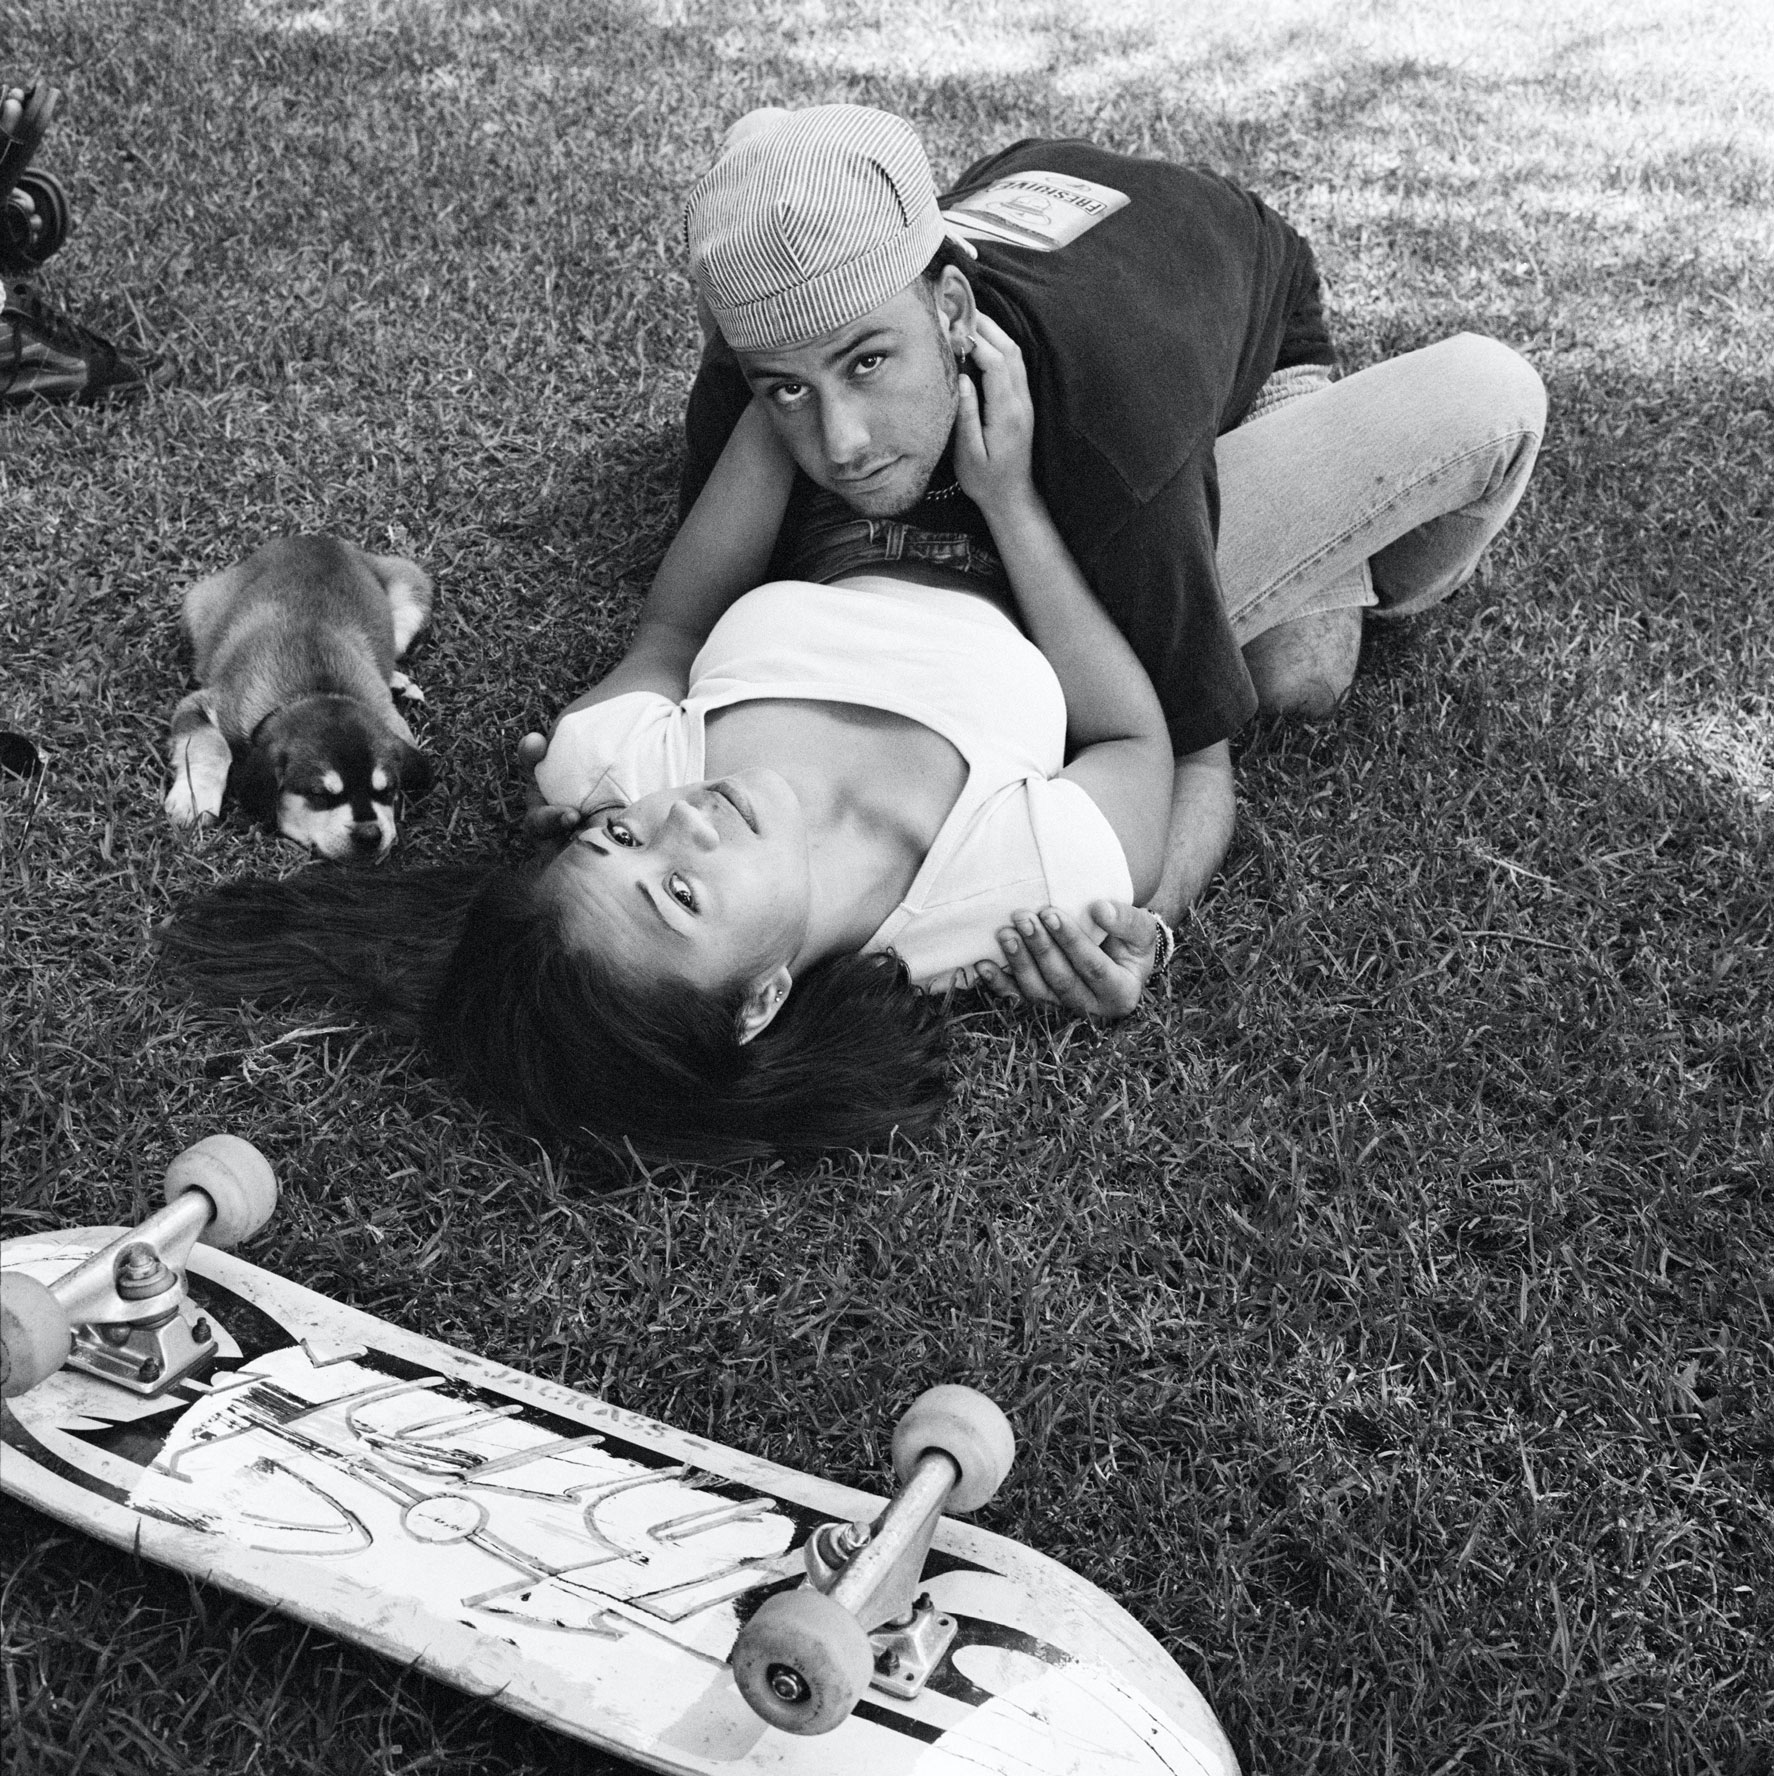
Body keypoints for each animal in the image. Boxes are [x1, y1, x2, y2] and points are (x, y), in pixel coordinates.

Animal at [164, 532, 436, 859]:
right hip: (198, 609)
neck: (312, 691)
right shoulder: (201, 705)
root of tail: (317, 538)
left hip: (411, 593)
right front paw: (194, 800)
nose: (371, 836)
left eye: (386, 790)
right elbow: (211, 746)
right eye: (318, 794)